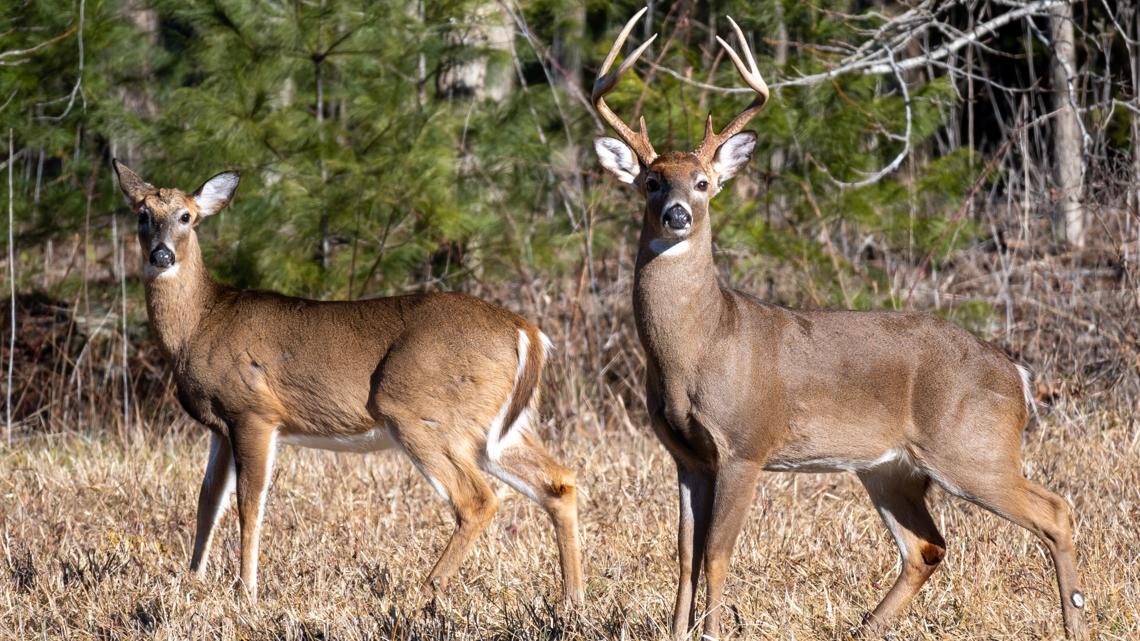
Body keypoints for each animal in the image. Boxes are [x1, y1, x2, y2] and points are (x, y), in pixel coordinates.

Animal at [111, 159, 584, 606]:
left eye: (187, 216)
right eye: (143, 214)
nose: (162, 256)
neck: (200, 323)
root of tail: (527, 332)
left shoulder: (253, 411)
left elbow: (250, 502)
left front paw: (246, 590)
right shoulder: (220, 428)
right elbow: (208, 500)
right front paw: (193, 580)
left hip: (421, 412)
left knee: (478, 499)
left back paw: (423, 590)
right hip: (495, 429)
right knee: (558, 482)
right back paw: (572, 598)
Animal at [591, 9, 1088, 640]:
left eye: (703, 182)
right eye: (652, 181)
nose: (677, 213)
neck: (697, 348)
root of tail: (1017, 376)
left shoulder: (745, 445)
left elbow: (718, 554)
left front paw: (710, 630)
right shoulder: (685, 455)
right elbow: (683, 553)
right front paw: (678, 631)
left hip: (975, 448)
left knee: (1056, 512)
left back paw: (1074, 621)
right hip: (892, 468)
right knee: (927, 546)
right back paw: (865, 627)